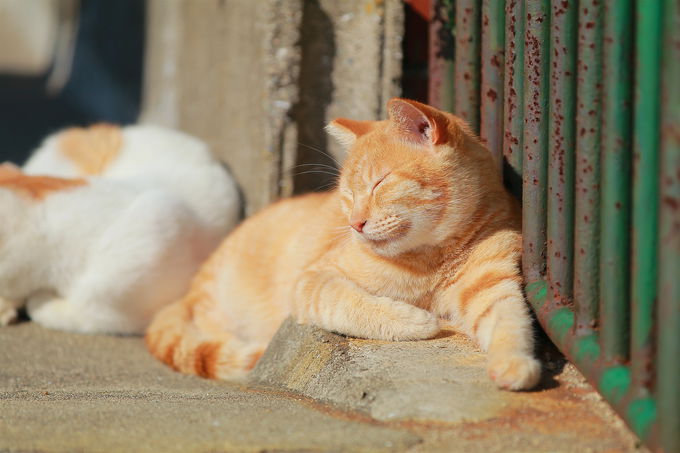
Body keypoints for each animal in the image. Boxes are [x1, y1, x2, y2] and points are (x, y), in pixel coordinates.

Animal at [146, 98, 540, 388]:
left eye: (380, 183)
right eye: (347, 195)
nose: (355, 224)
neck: (432, 258)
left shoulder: (493, 285)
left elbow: (511, 323)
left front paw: (515, 364)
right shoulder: (313, 280)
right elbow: (352, 304)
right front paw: (415, 320)